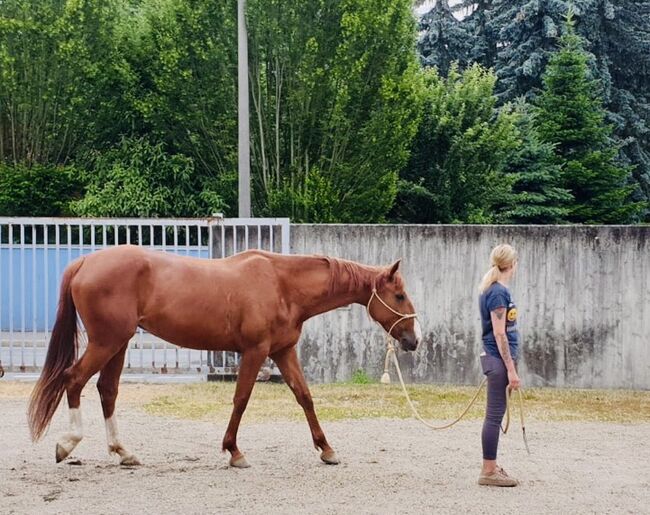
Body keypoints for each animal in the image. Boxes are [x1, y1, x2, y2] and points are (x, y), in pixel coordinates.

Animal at [27, 246, 420, 468]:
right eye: (399, 296)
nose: (413, 339)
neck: (282, 284)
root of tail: (84, 262)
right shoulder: (255, 352)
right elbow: (241, 399)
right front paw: (234, 452)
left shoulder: (283, 351)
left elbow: (304, 397)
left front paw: (326, 449)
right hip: (106, 342)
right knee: (74, 379)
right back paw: (67, 444)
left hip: (117, 344)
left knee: (107, 390)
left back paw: (124, 452)